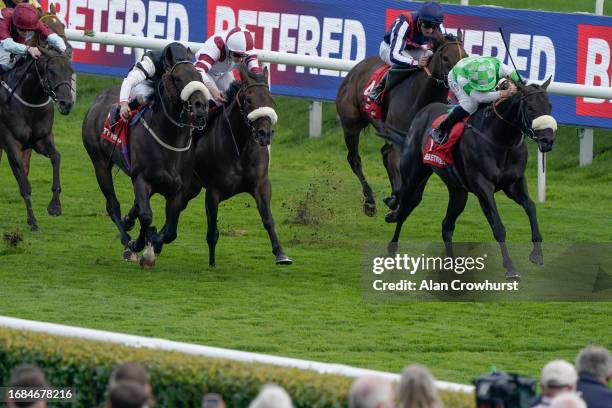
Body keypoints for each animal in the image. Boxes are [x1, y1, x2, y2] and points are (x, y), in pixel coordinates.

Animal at [0, 46, 74, 231]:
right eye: (52, 71)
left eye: (71, 71)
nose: (66, 104)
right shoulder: (11, 143)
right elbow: (24, 183)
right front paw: (32, 221)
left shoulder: (41, 140)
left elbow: (56, 157)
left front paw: (55, 206)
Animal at [82, 44, 209, 266]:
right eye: (178, 78)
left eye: (198, 76)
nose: (201, 105)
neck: (170, 142)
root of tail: (98, 99)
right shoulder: (142, 179)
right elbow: (146, 215)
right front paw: (139, 246)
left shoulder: (179, 189)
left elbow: (171, 231)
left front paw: (152, 241)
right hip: (99, 163)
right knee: (112, 205)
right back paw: (126, 239)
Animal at [334, 31, 464, 217]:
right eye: (445, 58)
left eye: (466, 56)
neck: (421, 97)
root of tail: (354, 71)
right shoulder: (396, 143)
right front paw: (393, 201)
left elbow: (415, 192)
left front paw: (396, 204)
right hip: (350, 125)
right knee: (354, 159)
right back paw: (369, 200)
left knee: (383, 154)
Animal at [384, 78, 556, 278]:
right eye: (529, 108)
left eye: (549, 106)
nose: (547, 140)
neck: (500, 140)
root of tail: (424, 111)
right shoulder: (483, 187)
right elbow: (498, 226)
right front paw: (510, 267)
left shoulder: (514, 183)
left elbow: (531, 207)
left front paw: (537, 254)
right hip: (413, 175)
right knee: (404, 208)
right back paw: (392, 246)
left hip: (458, 191)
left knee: (446, 225)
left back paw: (452, 266)